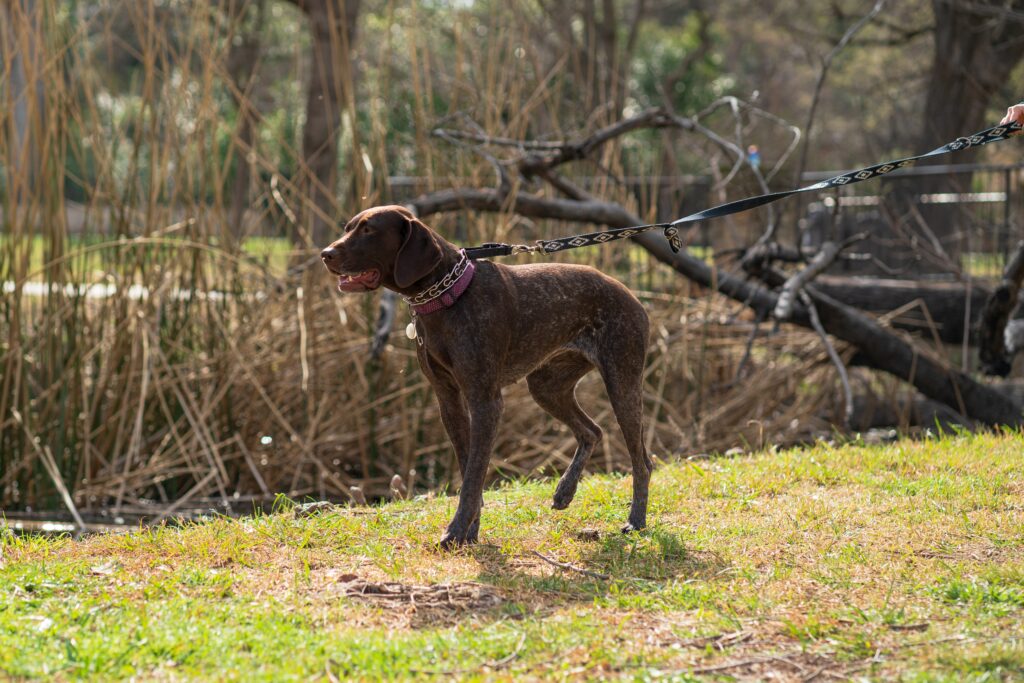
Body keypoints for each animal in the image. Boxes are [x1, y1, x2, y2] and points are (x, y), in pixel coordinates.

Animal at [323, 205, 651, 548]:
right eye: (348, 228)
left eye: (368, 230)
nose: (325, 254)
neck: (447, 295)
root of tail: (631, 295)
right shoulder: (448, 400)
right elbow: (469, 467)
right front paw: (470, 532)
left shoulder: (485, 401)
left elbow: (473, 475)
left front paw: (455, 531)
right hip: (546, 386)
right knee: (591, 431)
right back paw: (564, 492)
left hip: (622, 383)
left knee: (642, 462)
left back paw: (636, 520)